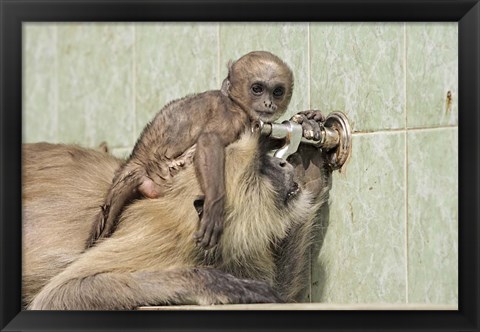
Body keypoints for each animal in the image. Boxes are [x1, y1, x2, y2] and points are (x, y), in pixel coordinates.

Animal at [22, 126, 330, 308]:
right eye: (262, 167)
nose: (282, 163)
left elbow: (282, 294)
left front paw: (310, 171)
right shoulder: (161, 236)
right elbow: (60, 294)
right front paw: (217, 285)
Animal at [86, 51, 296, 249]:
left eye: (277, 91)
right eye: (257, 89)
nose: (269, 103)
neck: (234, 102)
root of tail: (134, 163)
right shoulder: (231, 118)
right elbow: (208, 141)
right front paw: (215, 205)